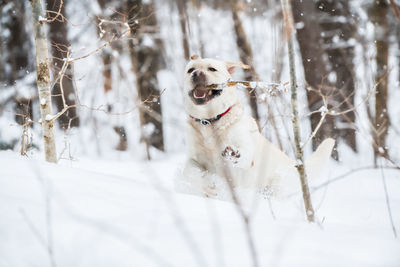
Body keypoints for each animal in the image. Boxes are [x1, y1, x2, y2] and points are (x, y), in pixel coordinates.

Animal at [180, 55, 332, 199]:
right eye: (190, 70)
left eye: (212, 69)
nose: (196, 73)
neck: (209, 121)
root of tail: (294, 164)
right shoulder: (194, 157)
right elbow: (189, 170)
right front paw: (206, 185)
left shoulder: (246, 156)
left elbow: (243, 155)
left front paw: (233, 154)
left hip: (278, 185)